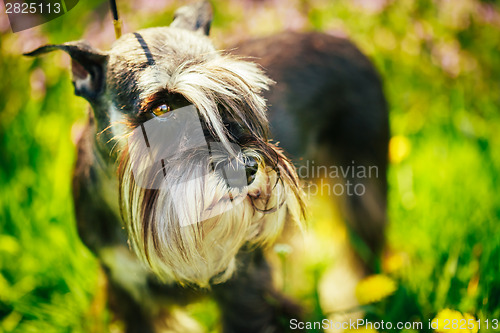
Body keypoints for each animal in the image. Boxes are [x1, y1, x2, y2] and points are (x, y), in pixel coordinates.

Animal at [25, 1, 388, 330]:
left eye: (233, 95)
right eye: (161, 108)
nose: (246, 170)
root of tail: (344, 40)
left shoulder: (245, 287)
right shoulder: (128, 293)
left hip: (363, 192)